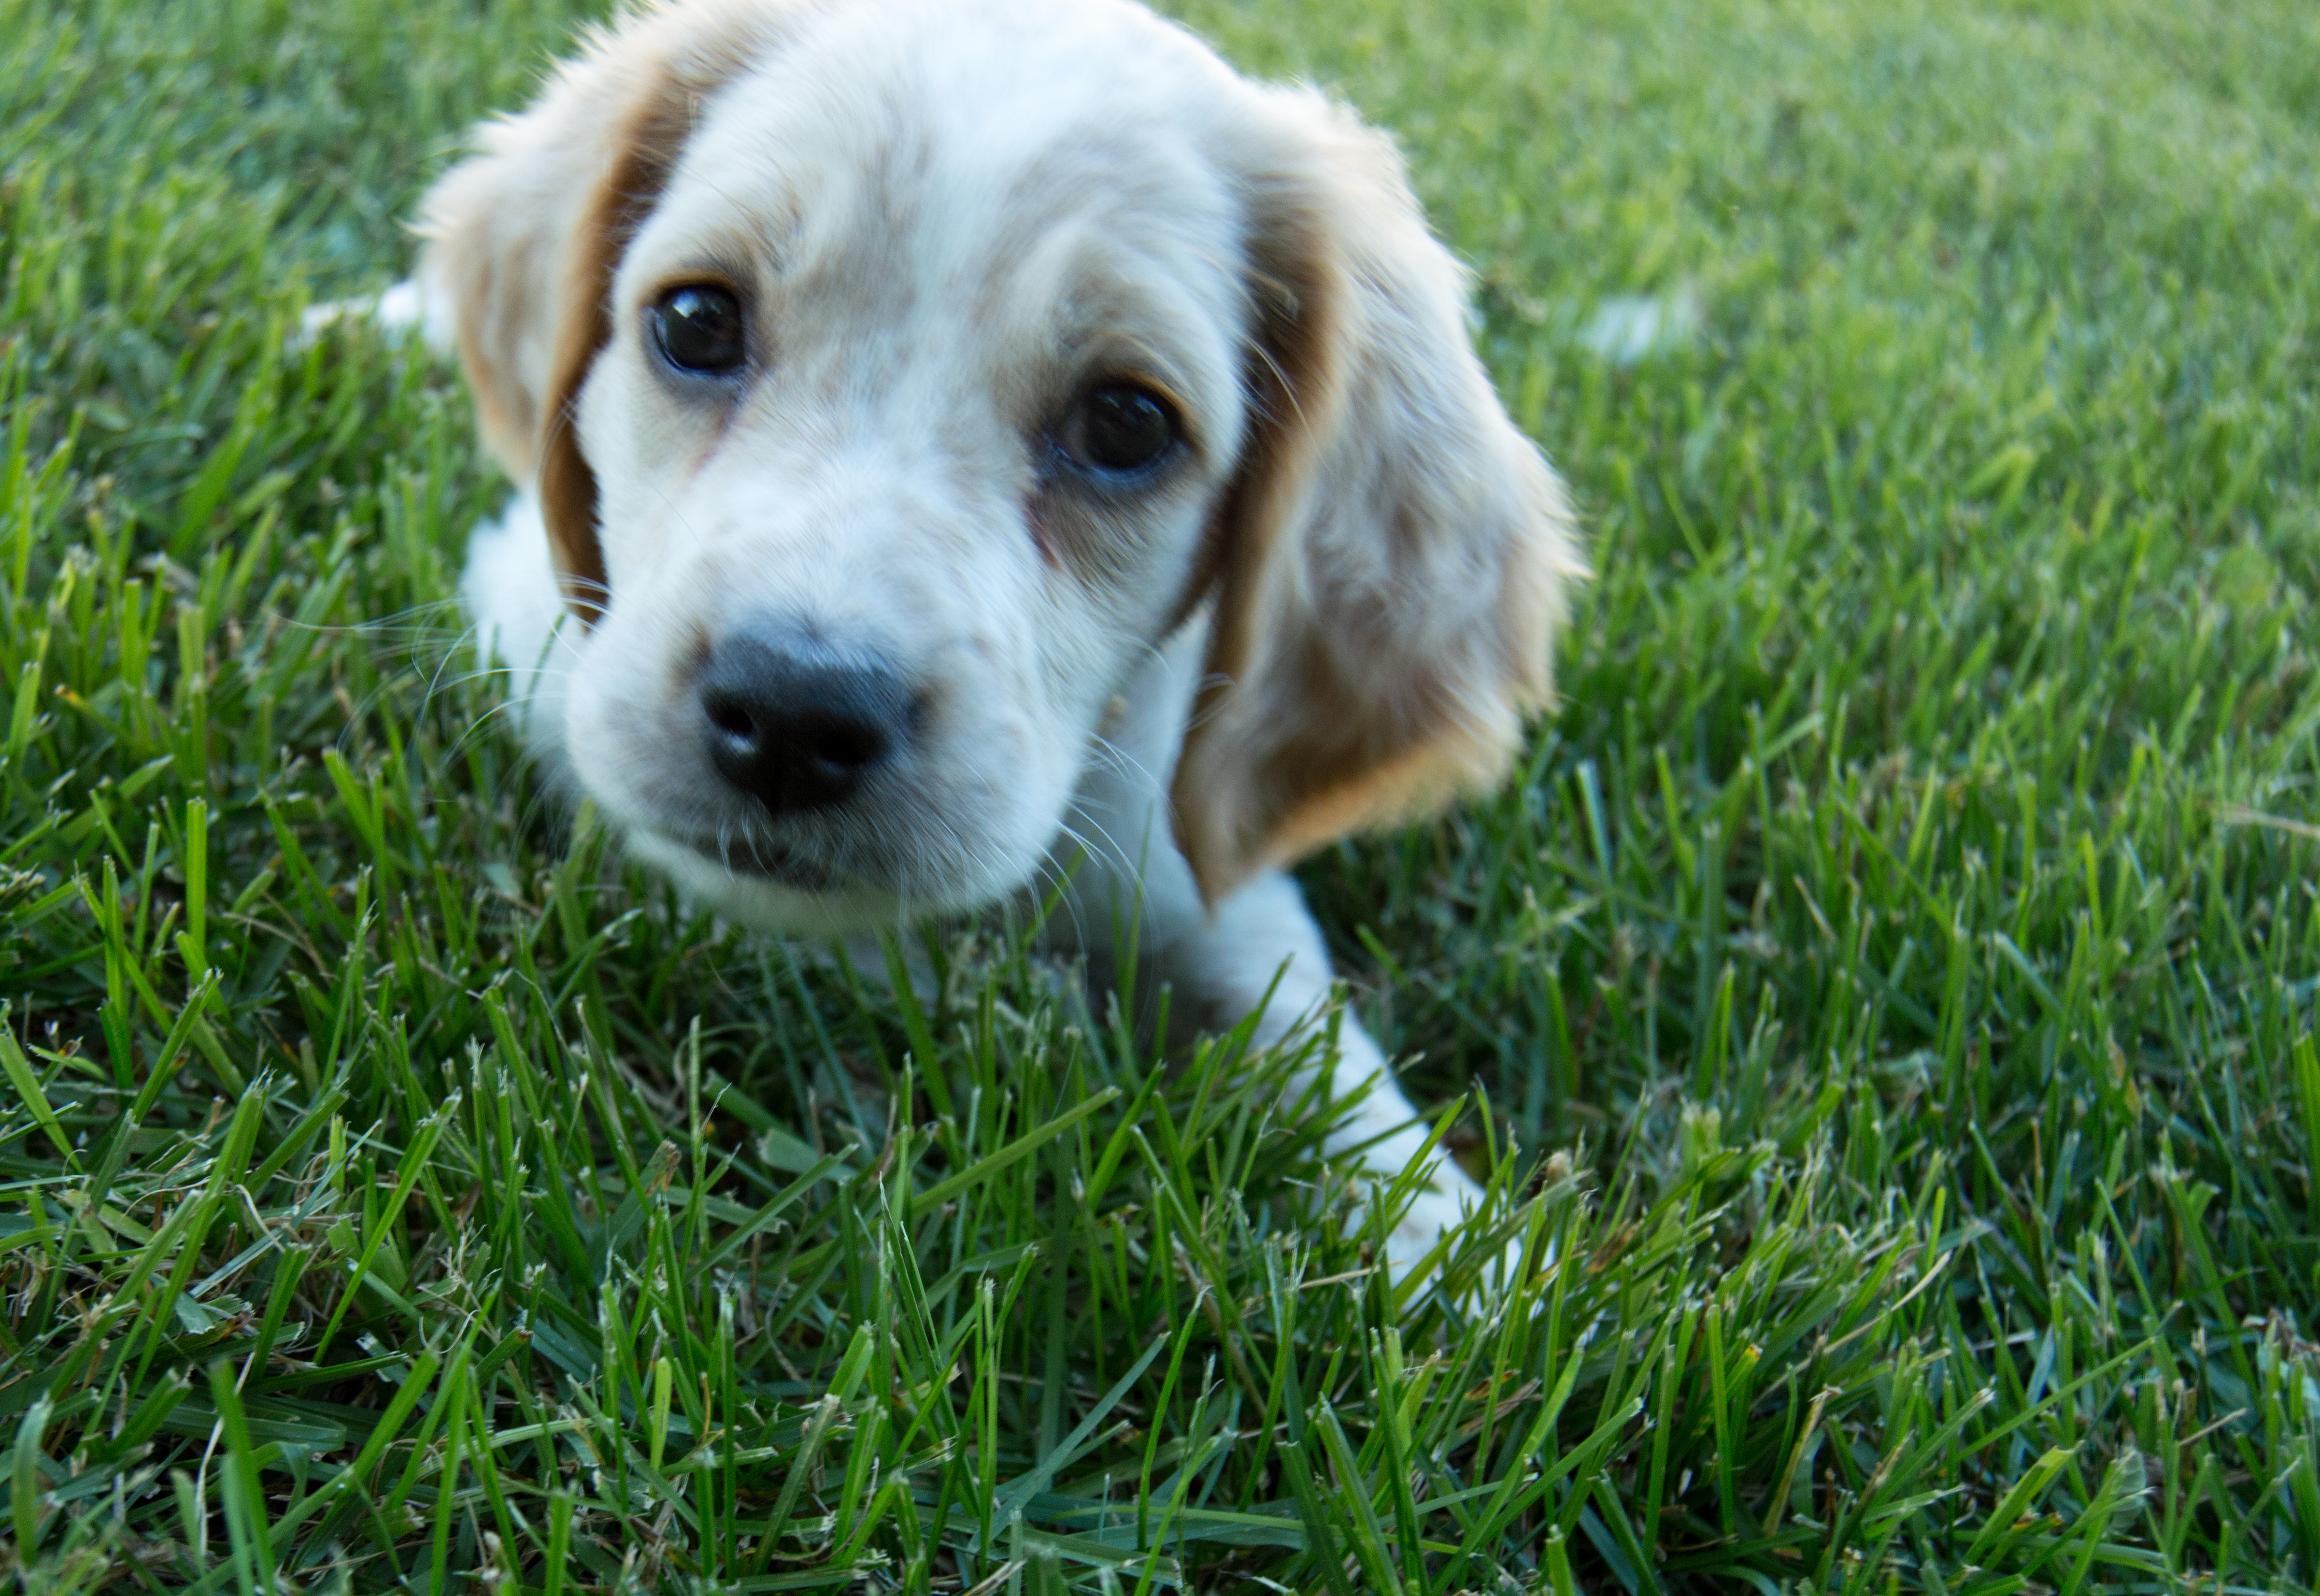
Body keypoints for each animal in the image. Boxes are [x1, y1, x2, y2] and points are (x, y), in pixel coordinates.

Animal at [422, 0, 1578, 1280]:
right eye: (694, 321)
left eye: (1125, 423)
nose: (792, 716)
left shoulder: (1199, 859)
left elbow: (1309, 1044)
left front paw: (1460, 1254)